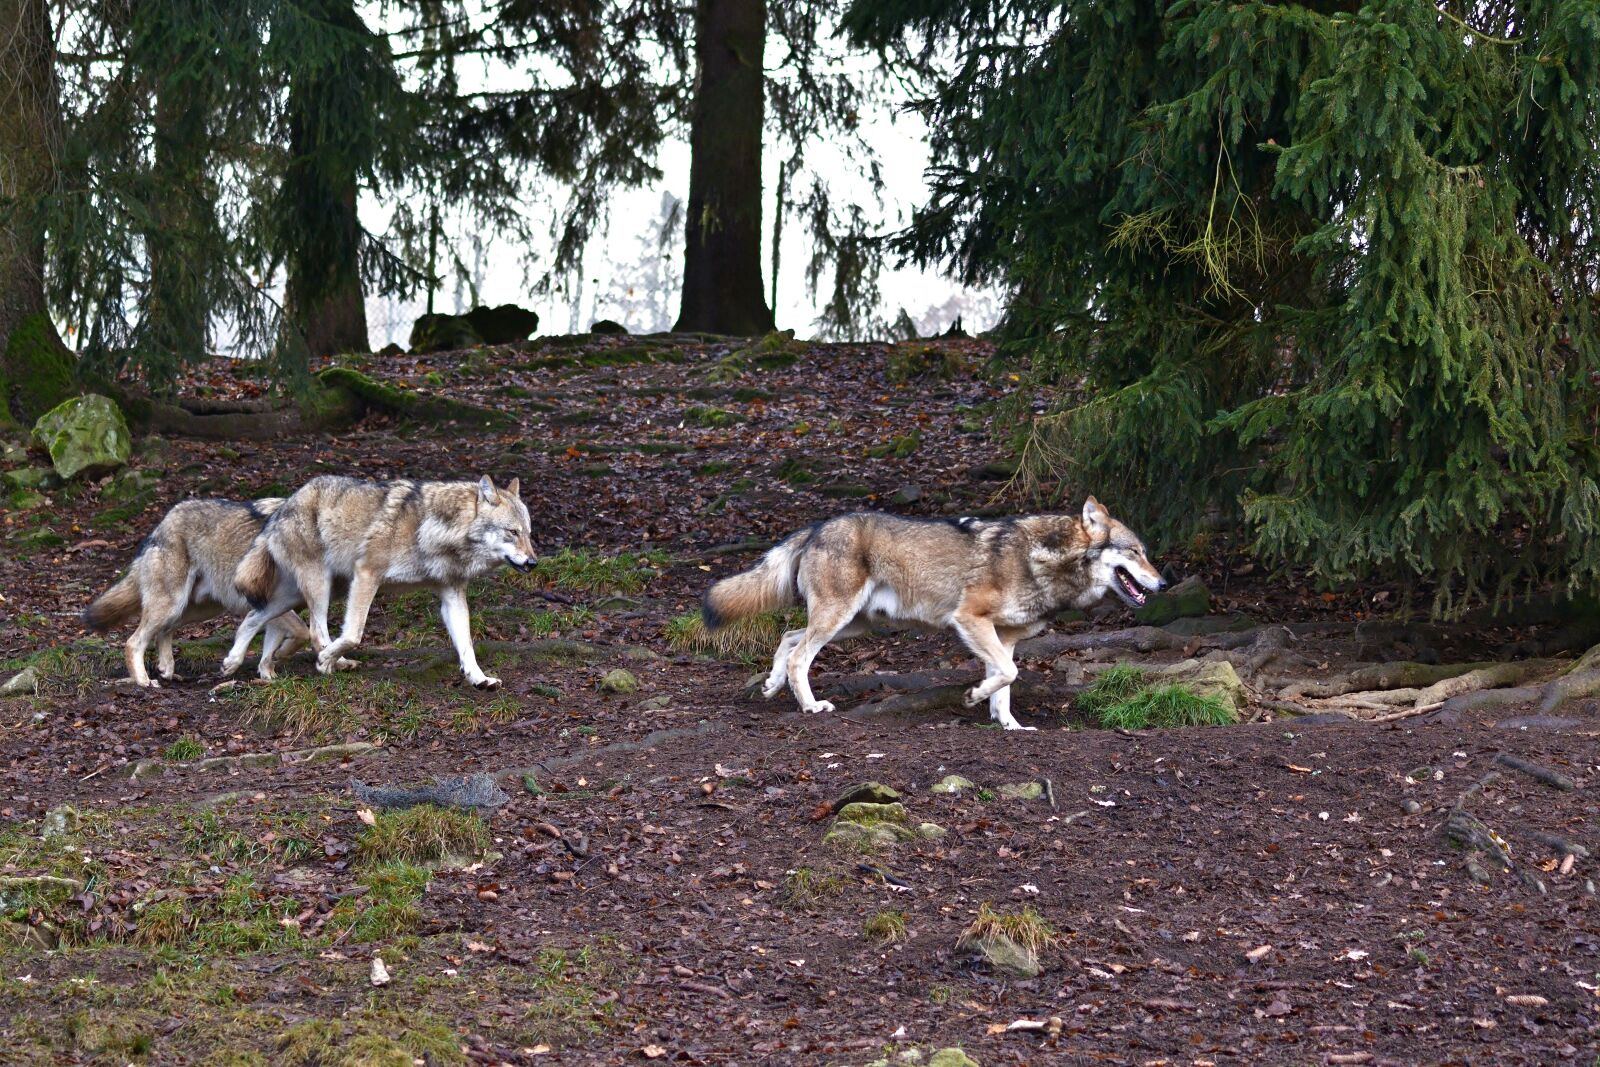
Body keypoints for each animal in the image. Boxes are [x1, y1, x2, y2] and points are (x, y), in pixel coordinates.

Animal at [84, 499, 315, 687]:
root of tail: (162, 524)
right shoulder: (269, 602)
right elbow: (302, 632)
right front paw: (279, 657)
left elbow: (279, 642)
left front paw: (269, 674)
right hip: (172, 606)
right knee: (134, 642)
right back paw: (143, 681)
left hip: (198, 610)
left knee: (163, 631)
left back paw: (166, 668)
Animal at [226, 475, 535, 689]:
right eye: (512, 532)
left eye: (529, 533)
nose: (533, 563)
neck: (432, 529)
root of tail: (285, 503)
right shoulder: (367, 574)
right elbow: (354, 634)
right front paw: (325, 661)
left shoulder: (452, 593)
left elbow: (467, 645)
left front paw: (480, 679)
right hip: (320, 586)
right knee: (315, 631)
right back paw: (329, 663)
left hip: (308, 593)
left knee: (254, 616)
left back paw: (234, 662)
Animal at [701, 497, 1164, 731]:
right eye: (1136, 552)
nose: (1163, 584)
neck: (1044, 559)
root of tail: (815, 527)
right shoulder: (970, 619)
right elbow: (1006, 675)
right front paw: (974, 697)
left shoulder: (1006, 637)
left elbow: (1006, 682)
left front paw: (1009, 725)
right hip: (840, 619)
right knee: (800, 654)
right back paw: (811, 707)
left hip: (852, 624)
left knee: (788, 638)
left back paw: (772, 685)